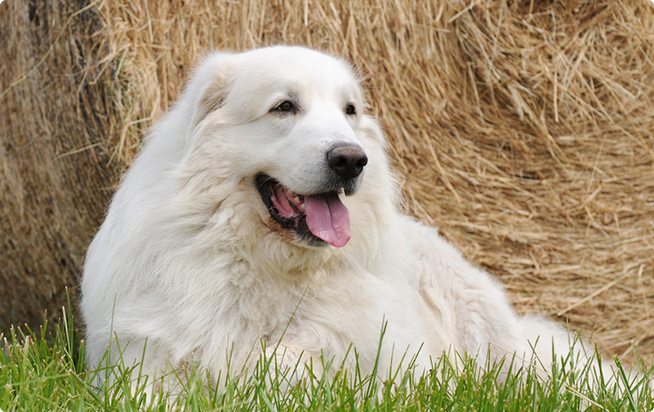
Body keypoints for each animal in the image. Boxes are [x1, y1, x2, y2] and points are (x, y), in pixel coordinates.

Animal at [80, 46, 584, 388]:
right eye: (284, 106)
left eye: (349, 110)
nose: (351, 159)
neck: (271, 266)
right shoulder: (144, 365)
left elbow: (294, 363)